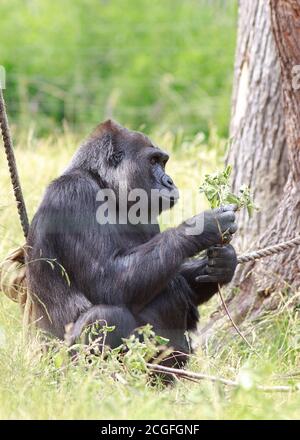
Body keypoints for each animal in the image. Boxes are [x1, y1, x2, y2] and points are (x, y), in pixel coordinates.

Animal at [25, 118, 237, 366]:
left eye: (163, 162)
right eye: (153, 161)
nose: (169, 181)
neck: (105, 186)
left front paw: (222, 264)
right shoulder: (73, 196)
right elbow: (108, 282)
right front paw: (204, 226)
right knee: (106, 317)